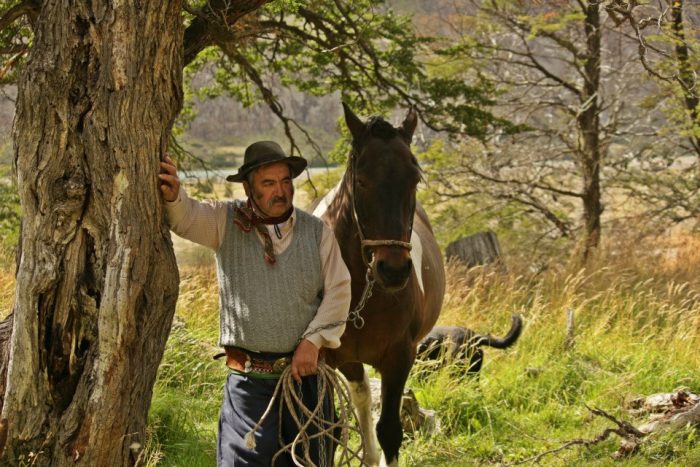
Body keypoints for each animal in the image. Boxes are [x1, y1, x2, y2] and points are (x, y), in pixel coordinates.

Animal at [314, 104, 446, 466]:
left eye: (414, 179)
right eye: (361, 180)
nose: (394, 270)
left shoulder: (400, 356)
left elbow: (389, 430)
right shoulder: (324, 360)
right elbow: (328, 430)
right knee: (359, 394)